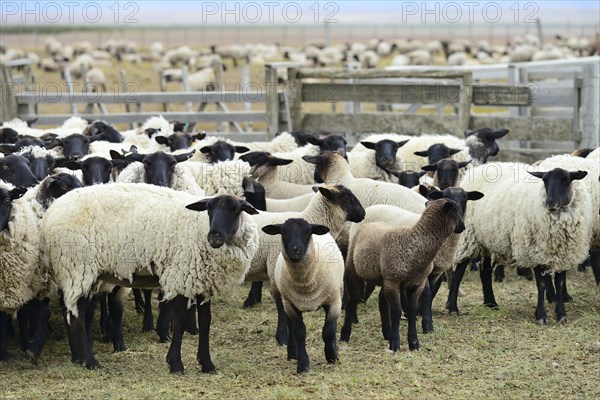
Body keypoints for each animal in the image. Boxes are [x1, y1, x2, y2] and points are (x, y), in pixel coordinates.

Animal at [39, 184, 260, 372]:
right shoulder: (181, 275)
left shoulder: (203, 283)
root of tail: (49, 215)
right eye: (208, 209)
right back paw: (90, 362)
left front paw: (207, 364)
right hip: (78, 267)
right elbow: (179, 321)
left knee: (72, 311)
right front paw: (175, 364)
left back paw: (78, 359)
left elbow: (206, 322)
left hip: (76, 272)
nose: (214, 236)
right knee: (76, 316)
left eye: (236, 210)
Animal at [262, 217, 342, 374]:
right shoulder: (291, 305)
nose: (295, 251)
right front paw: (303, 365)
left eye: (307, 233)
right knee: (290, 326)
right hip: (286, 301)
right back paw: (293, 354)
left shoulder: (334, 301)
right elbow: (299, 333)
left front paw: (332, 356)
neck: (306, 284)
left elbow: (329, 331)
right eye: (283, 233)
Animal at [342, 198, 464, 352]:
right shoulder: (394, 282)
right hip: (355, 270)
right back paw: (345, 335)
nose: (463, 227)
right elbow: (396, 312)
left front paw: (413, 343)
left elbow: (412, 311)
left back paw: (387, 333)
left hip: (385, 278)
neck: (414, 242)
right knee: (352, 301)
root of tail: (369, 224)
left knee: (382, 300)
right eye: (457, 211)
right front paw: (395, 344)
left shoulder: (417, 284)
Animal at [448, 161, 592, 324]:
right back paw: (453, 308)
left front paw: (561, 315)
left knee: (485, 271)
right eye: (545, 180)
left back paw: (491, 303)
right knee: (458, 272)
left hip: (488, 241)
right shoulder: (534, 251)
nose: (550, 203)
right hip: (467, 238)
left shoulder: (564, 253)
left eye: (566, 180)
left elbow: (560, 285)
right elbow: (541, 284)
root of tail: (478, 168)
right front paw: (541, 316)